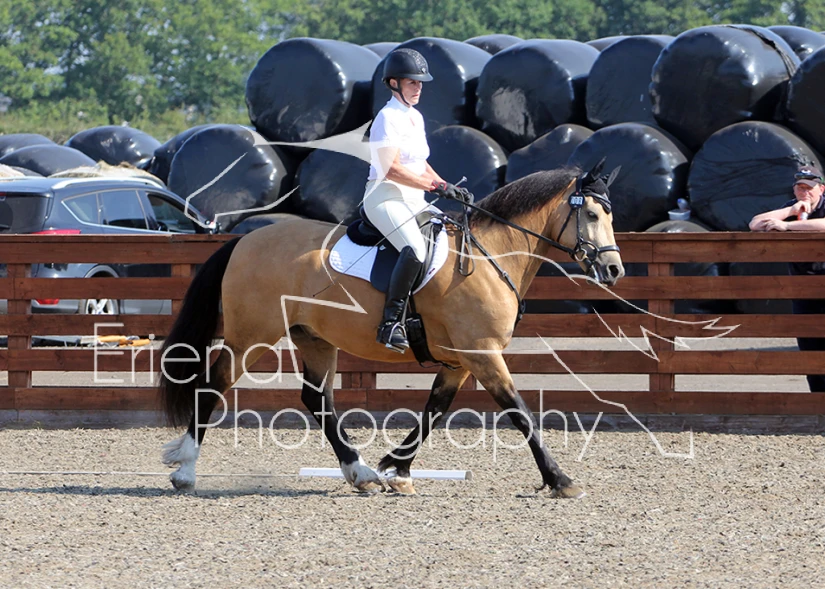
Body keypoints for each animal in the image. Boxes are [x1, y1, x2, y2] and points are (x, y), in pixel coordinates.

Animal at [158, 162, 625, 499]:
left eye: (609, 213)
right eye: (592, 213)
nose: (614, 270)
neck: (490, 256)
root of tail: (243, 241)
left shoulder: (461, 361)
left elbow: (434, 409)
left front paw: (395, 469)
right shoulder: (483, 353)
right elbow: (519, 411)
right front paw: (560, 480)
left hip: (314, 338)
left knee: (317, 399)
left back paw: (359, 471)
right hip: (251, 337)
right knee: (215, 384)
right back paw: (186, 469)